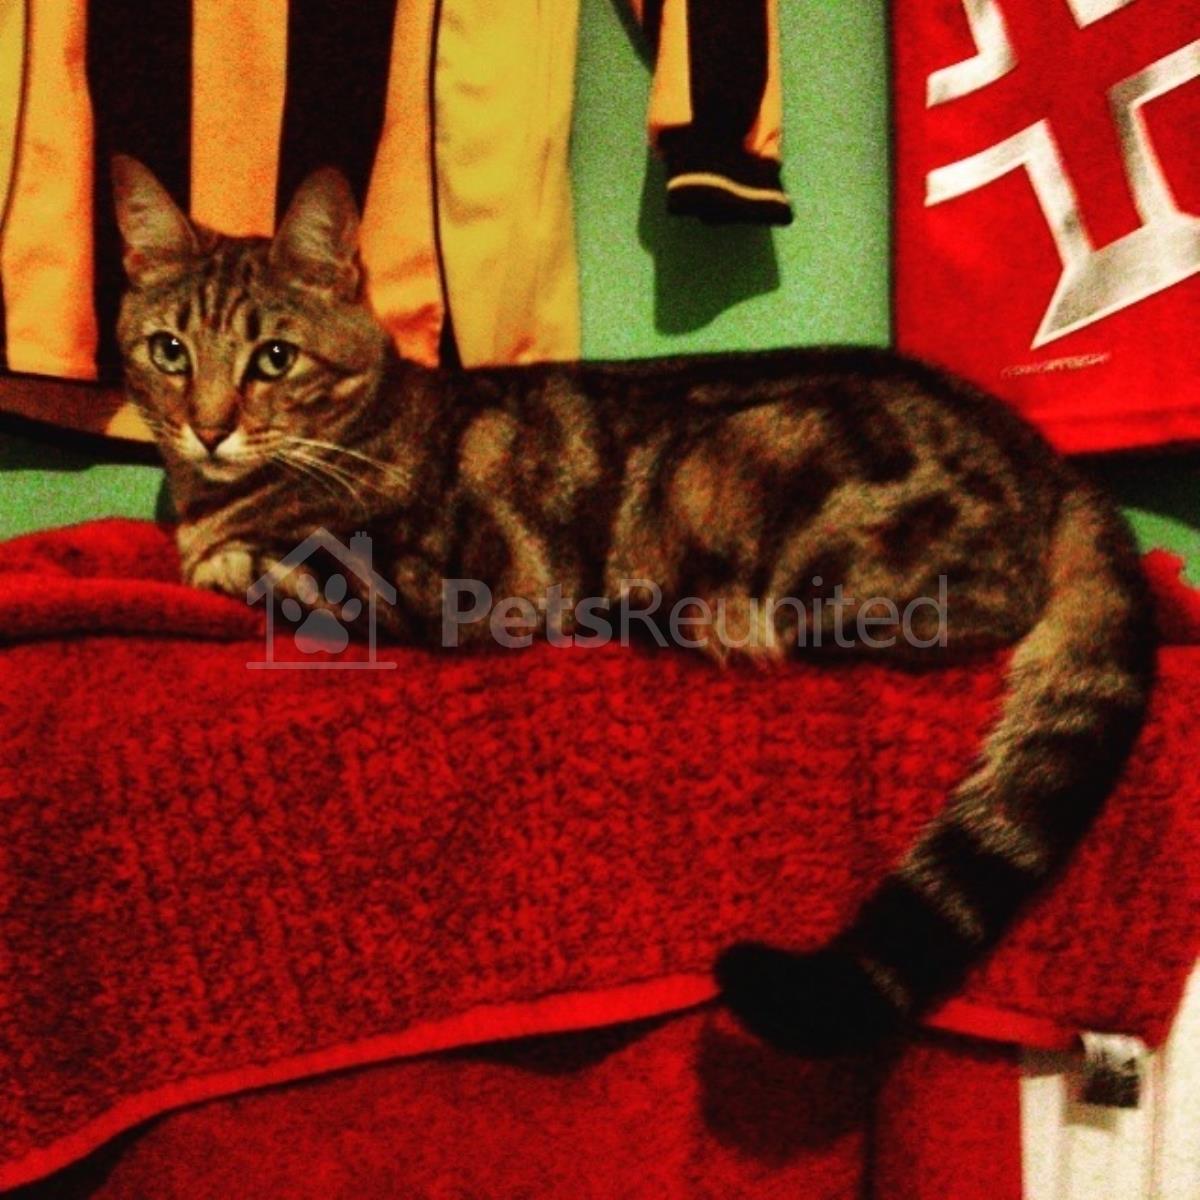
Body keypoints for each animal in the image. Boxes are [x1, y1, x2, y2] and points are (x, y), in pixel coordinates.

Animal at [112, 155, 1154, 1056]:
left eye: (274, 359)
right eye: (168, 351)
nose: (208, 428)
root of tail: (1048, 459)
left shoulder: (455, 586)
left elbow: (279, 576)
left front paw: (233, 563)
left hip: (754, 489)